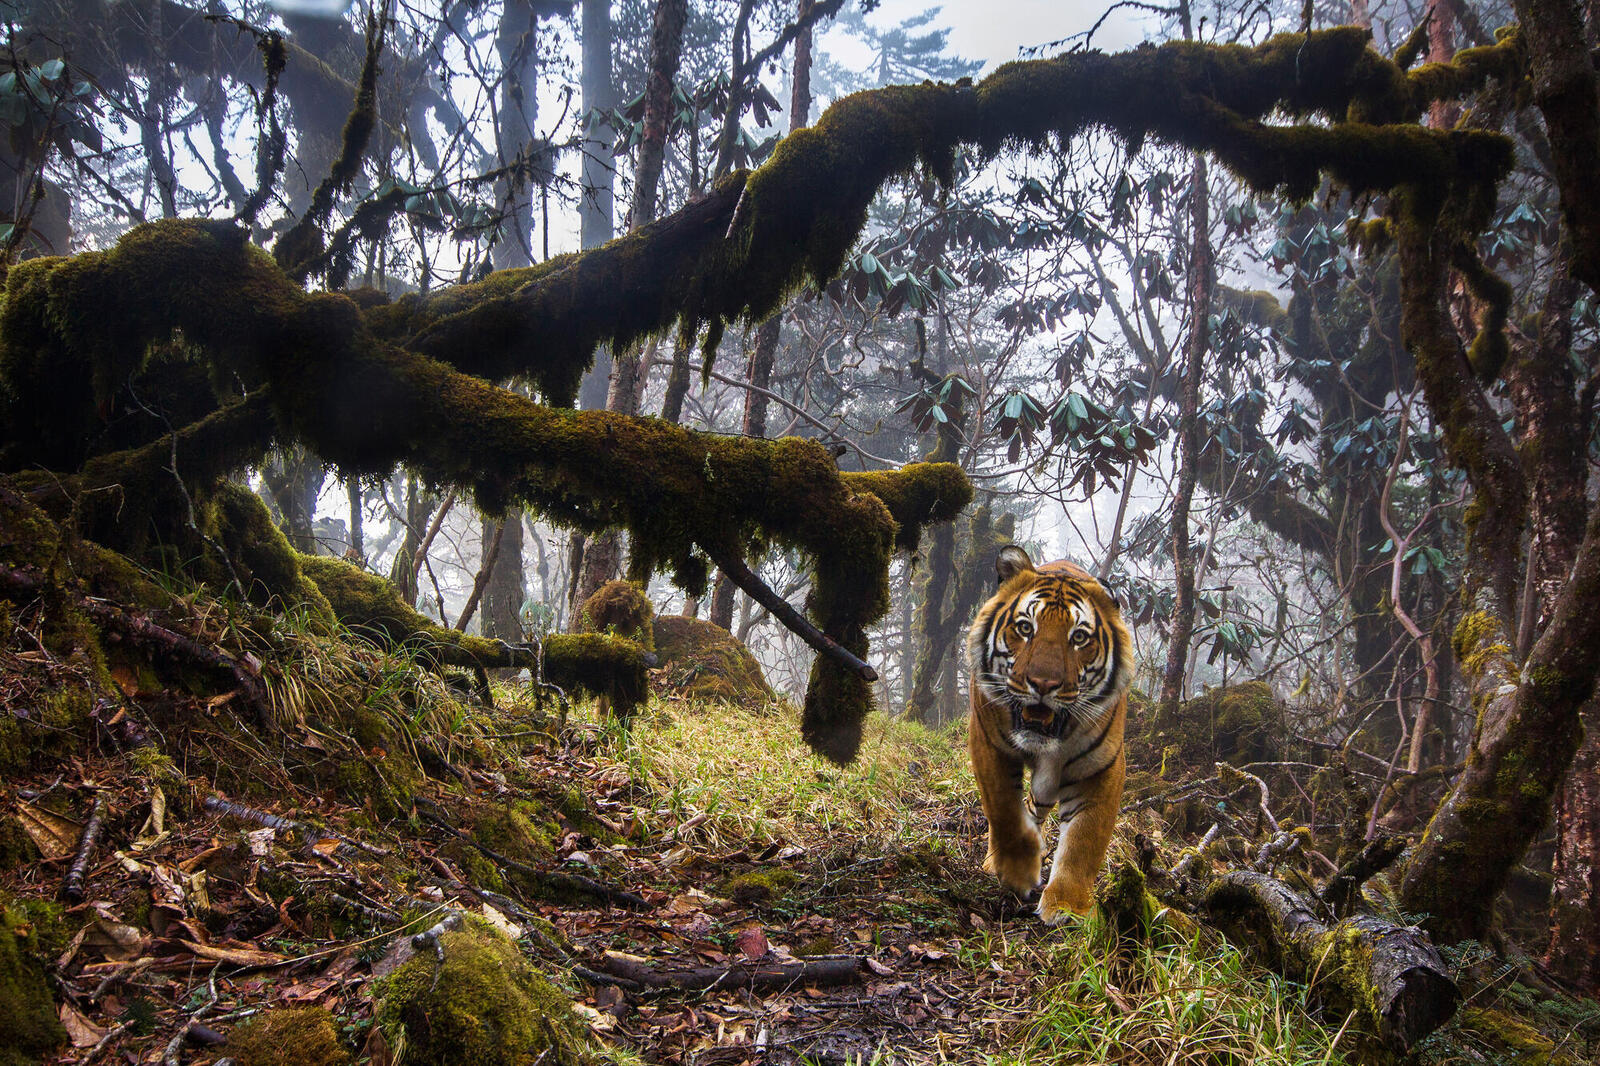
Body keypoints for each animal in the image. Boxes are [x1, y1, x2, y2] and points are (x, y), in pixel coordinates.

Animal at [960, 544, 1139, 915]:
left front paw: (1068, 904)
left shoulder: (1102, 766)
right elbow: (1004, 811)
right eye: (1025, 628)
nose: (1043, 683)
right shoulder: (987, 743)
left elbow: (1086, 838)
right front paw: (1018, 872)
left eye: (1079, 637)